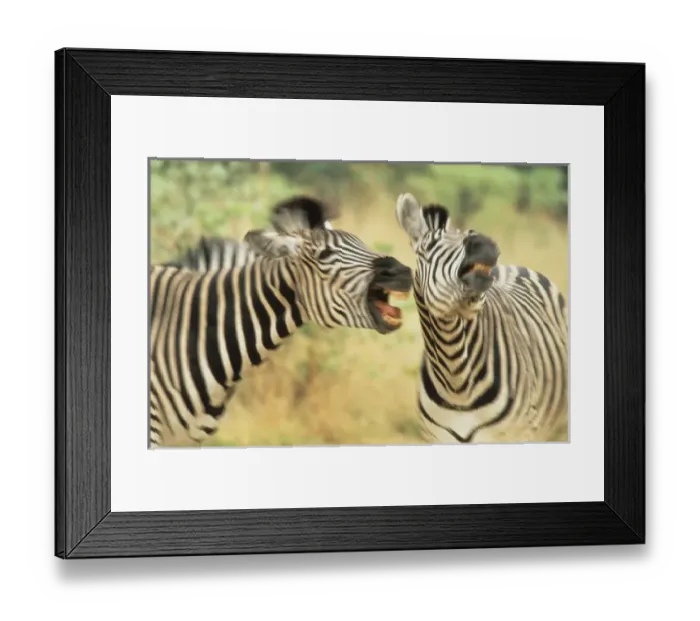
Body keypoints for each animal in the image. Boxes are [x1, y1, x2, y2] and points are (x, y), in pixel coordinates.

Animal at [394, 193, 568, 445]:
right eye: (429, 247)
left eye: (469, 233)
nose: (484, 243)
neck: (456, 380)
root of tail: (514, 267)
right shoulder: (435, 438)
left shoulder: (517, 433)